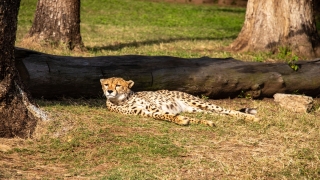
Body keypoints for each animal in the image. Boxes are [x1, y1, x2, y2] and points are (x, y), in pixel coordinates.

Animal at [99, 77, 258, 126]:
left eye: (118, 85)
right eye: (106, 84)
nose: (109, 91)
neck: (122, 100)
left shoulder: (154, 108)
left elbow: (167, 115)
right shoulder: (144, 112)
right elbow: (165, 116)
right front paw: (182, 120)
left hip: (199, 103)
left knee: (227, 110)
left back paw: (251, 117)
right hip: (194, 109)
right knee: (219, 114)